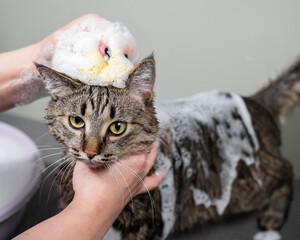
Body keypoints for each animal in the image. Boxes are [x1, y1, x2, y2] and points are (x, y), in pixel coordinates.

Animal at [35, 55, 298, 239]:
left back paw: (274, 214)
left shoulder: (145, 224)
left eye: (117, 127)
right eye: (76, 122)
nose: (90, 152)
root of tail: (255, 100)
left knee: (287, 168)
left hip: (250, 186)